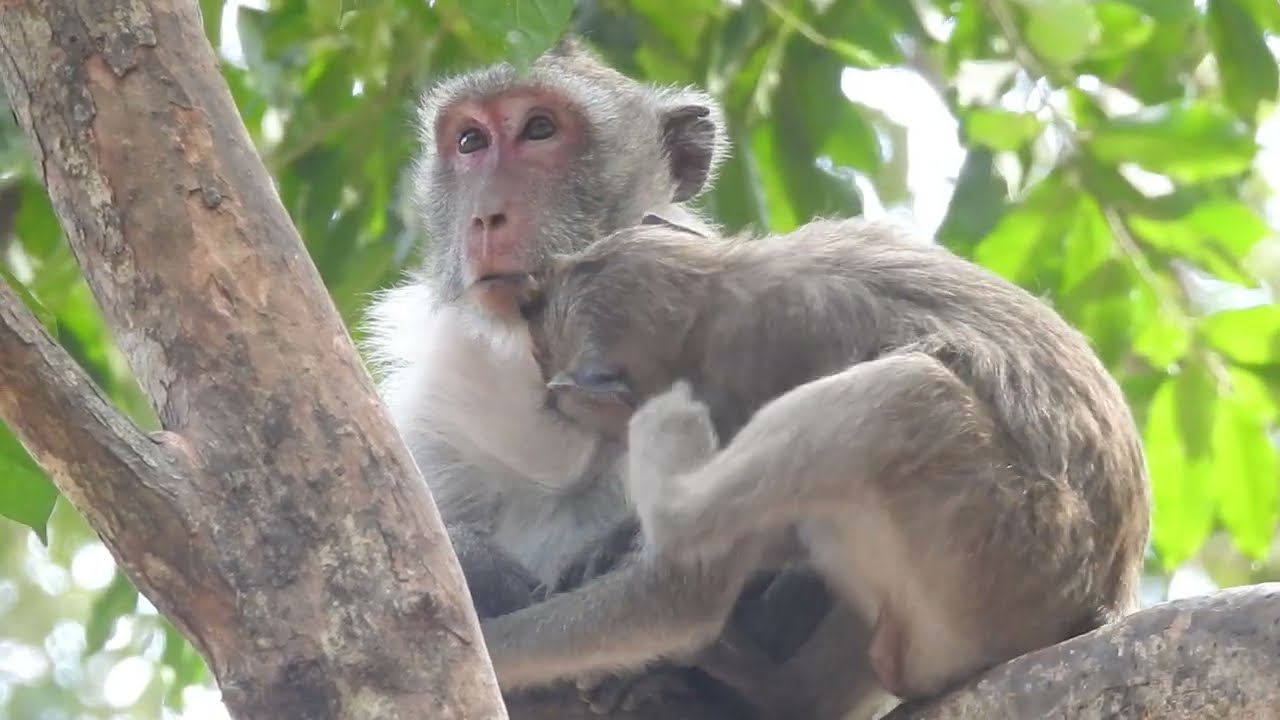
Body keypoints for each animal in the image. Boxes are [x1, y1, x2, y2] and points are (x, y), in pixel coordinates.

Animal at [475, 214, 1150, 709]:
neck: (717, 292)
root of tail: (1097, 608)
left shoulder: (741, 379)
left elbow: (684, 589)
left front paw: (494, 648)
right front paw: (606, 545)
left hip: (1001, 556)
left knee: (904, 395)